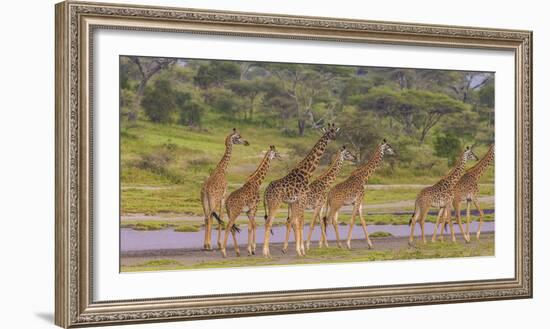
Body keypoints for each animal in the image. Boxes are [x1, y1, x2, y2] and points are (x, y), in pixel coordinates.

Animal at [264, 122, 340, 256]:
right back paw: (266, 253)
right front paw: (300, 251)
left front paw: (300, 250)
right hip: (275, 203)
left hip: (271, 204)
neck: (306, 172)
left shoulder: (297, 201)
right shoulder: (302, 199)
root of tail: (265, 191)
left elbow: (297, 223)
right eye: (329, 133)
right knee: (269, 223)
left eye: (334, 131)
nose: (335, 138)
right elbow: (299, 223)